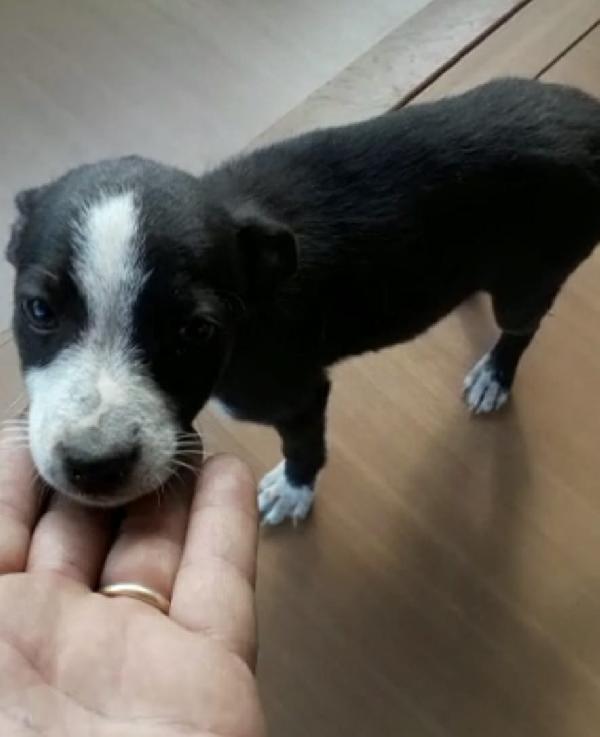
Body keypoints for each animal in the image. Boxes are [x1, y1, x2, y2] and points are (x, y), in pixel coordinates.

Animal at [7, 77, 600, 523]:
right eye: (39, 310)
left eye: (195, 331)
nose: (95, 467)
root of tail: (589, 114)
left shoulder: (297, 394)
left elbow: (304, 446)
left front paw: (293, 492)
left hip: (533, 275)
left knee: (521, 326)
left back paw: (494, 375)